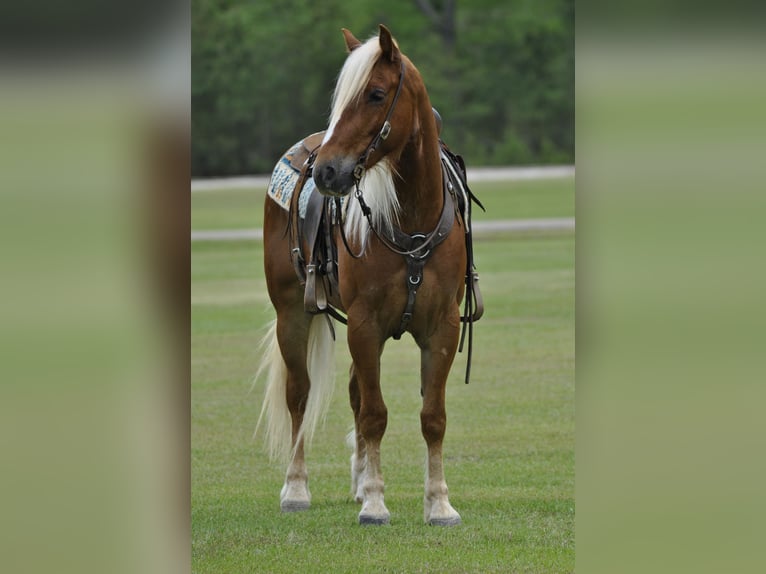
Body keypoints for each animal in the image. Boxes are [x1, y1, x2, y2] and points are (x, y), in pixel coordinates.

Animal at [257, 24, 481, 526]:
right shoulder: (363, 324)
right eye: (340, 98)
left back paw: (359, 481)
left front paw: (439, 503)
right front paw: (376, 503)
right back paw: (296, 488)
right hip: (291, 314)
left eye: (376, 94)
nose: (326, 171)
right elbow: (375, 414)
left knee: (356, 393)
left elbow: (432, 416)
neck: (411, 219)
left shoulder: (441, 327)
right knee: (300, 394)